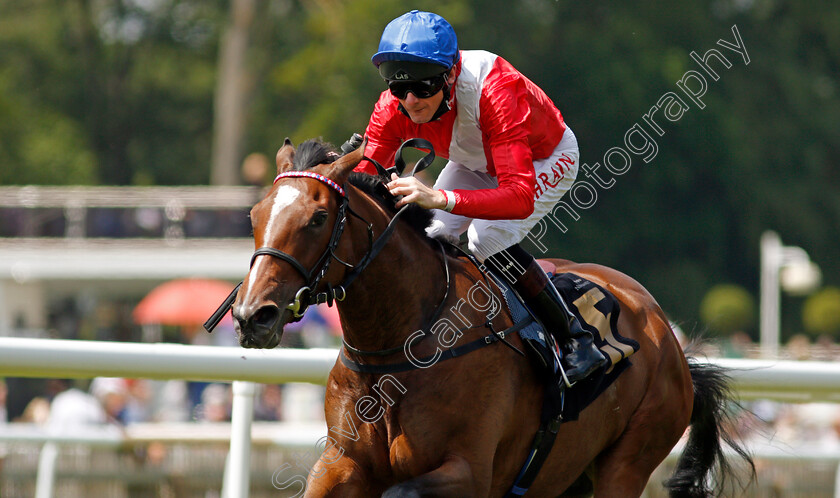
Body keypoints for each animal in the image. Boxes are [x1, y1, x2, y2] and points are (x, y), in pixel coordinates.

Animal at [226, 137, 752, 498]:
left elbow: (402, 489)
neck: (403, 345)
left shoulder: (470, 471)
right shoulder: (341, 463)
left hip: (628, 462)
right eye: (254, 216)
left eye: (317, 218)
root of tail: (672, 343)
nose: (253, 316)